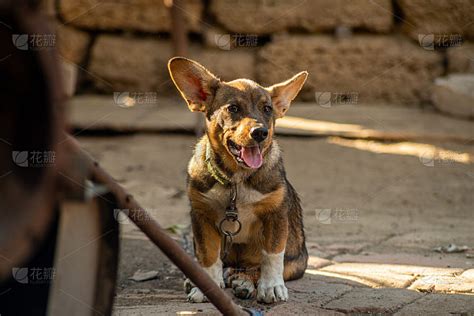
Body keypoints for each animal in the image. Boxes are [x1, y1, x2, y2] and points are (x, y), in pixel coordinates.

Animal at [168, 57, 310, 304]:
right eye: (233, 108)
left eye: (267, 109)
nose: (260, 133)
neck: (236, 179)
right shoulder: (201, 215)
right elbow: (208, 256)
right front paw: (206, 286)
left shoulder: (275, 214)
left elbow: (271, 257)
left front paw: (271, 287)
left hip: (296, 262)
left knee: (256, 267)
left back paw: (244, 280)